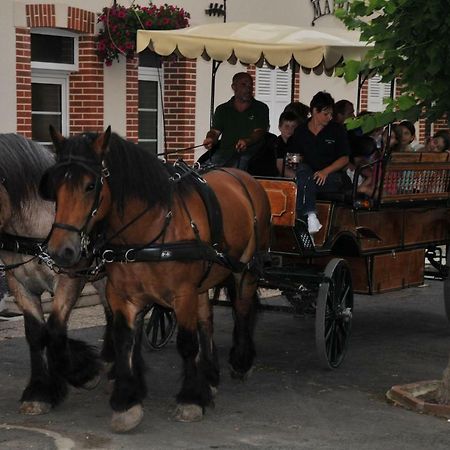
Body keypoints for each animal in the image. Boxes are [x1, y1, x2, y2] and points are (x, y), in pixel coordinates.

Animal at [41, 125, 270, 432]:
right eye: (55, 186)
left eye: (90, 186)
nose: (61, 251)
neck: (149, 229)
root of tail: (243, 176)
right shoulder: (122, 296)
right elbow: (125, 340)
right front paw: (127, 401)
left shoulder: (183, 294)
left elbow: (186, 343)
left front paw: (190, 399)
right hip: (204, 281)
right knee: (206, 319)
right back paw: (209, 376)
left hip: (244, 270)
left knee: (243, 310)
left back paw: (240, 361)